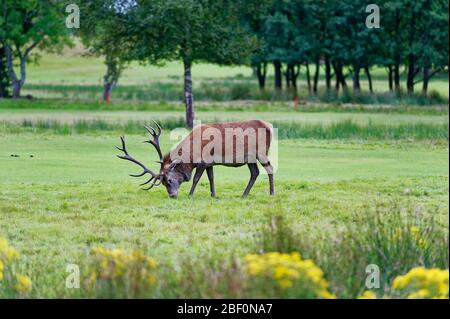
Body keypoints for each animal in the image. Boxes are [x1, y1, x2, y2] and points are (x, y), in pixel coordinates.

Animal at [116, 120, 274, 198]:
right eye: (163, 183)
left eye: (169, 180)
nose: (172, 196)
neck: (192, 153)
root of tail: (269, 126)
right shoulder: (210, 163)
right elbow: (211, 178)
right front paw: (213, 195)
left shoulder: (203, 161)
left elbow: (196, 178)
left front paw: (190, 195)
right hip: (250, 158)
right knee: (255, 172)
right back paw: (244, 194)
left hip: (261, 152)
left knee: (269, 168)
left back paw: (271, 193)